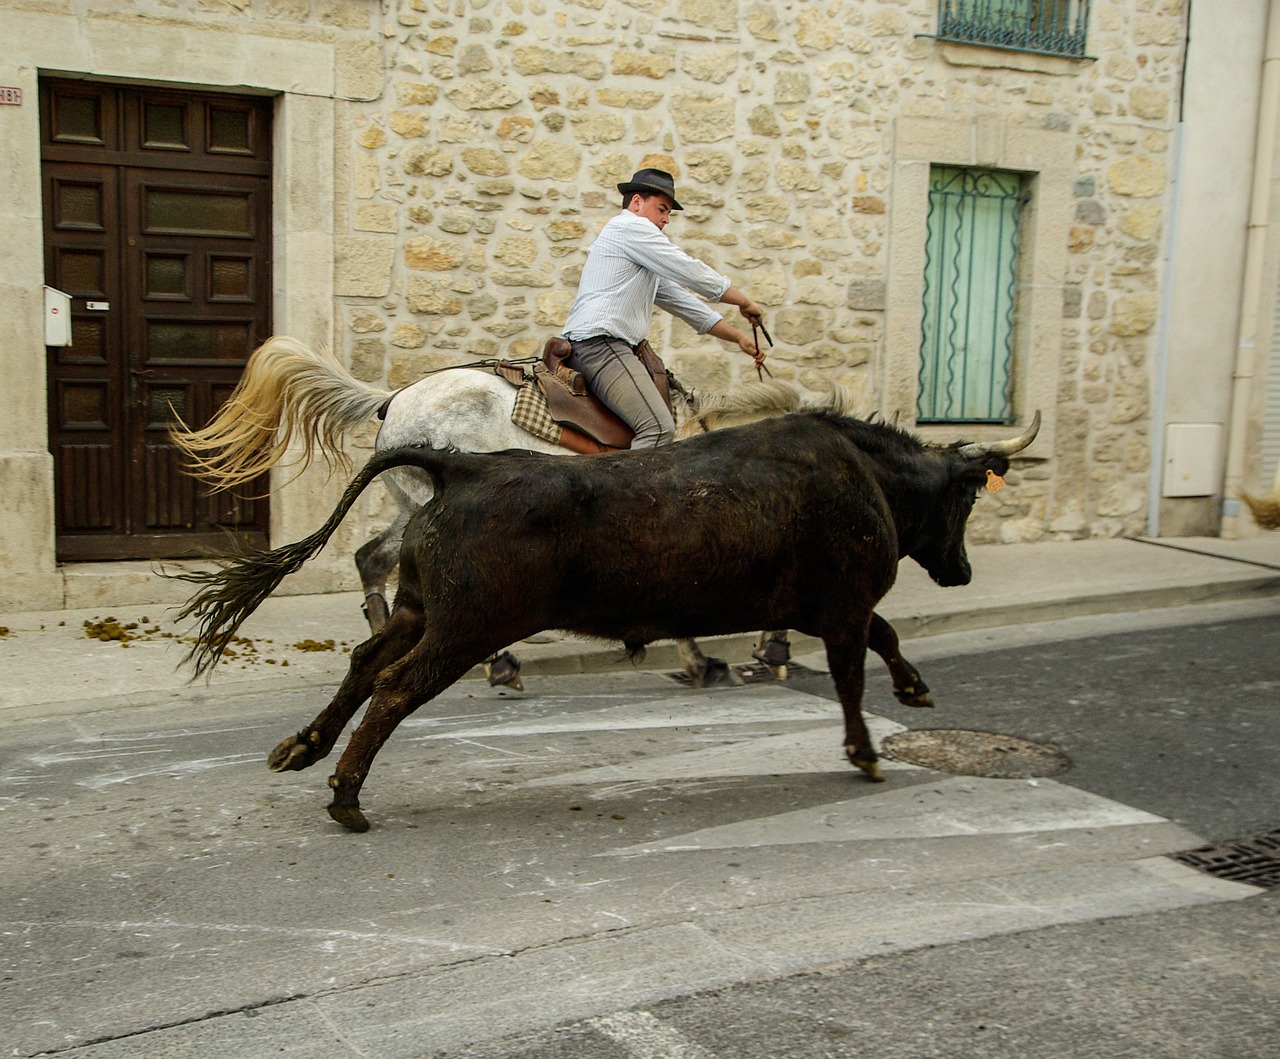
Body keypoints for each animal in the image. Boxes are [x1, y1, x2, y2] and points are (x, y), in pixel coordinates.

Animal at [170, 340, 931, 701]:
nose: (774, 653)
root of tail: (394, 400)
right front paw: (718, 659)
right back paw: (496, 661)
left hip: (412, 506)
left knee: (370, 561)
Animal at [175, 409, 1034, 834]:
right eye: (968, 494)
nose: (959, 570)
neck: (865, 474)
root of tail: (462, 463)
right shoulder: (843, 606)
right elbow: (858, 671)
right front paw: (865, 751)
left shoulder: (834, 609)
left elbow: (886, 640)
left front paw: (916, 691)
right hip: (465, 629)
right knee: (392, 686)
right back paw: (347, 796)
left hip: (424, 609)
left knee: (363, 662)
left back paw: (302, 748)